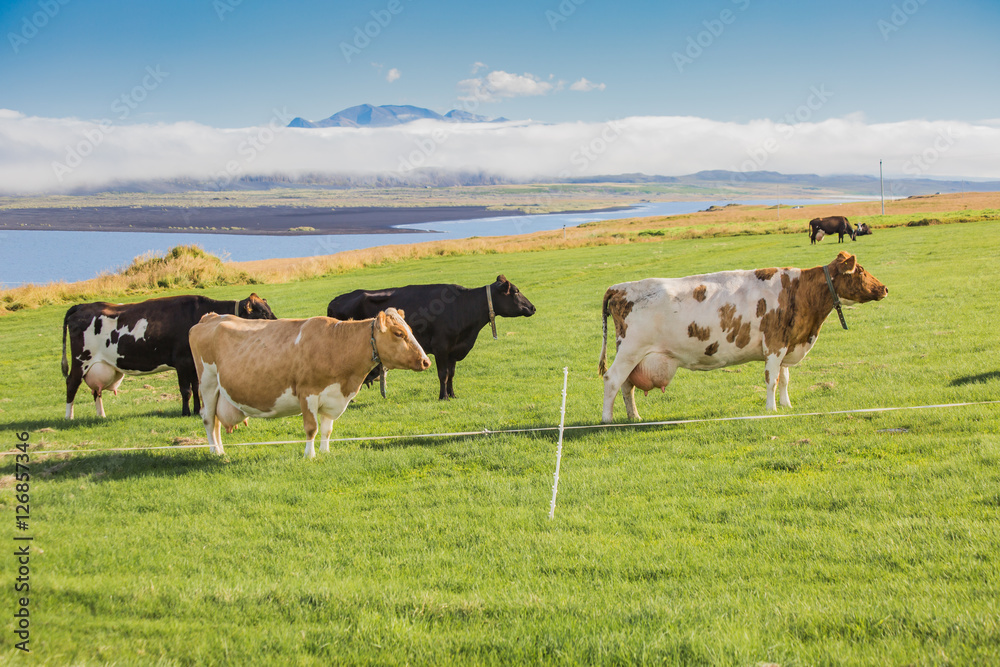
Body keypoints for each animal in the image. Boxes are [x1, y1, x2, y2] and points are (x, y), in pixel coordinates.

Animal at [63, 294, 276, 420]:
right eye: (264, 314)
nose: (278, 323)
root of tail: (81, 306)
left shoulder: (192, 363)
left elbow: (196, 388)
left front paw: (197, 410)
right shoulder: (181, 362)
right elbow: (186, 390)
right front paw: (185, 412)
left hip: (97, 364)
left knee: (96, 391)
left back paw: (101, 415)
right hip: (81, 360)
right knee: (71, 384)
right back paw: (69, 417)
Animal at [189, 310, 432, 460]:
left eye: (409, 330)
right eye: (399, 333)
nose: (425, 361)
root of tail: (211, 317)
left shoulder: (332, 397)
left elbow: (327, 429)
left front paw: (325, 452)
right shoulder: (307, 393)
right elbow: (311, 428)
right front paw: (310, 455)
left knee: (217, 421)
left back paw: (220, 450)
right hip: (207, 383)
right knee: (208, 419)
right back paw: (215, 452)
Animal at [328, 274, 536, 400]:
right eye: (516, 291)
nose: (533, 307)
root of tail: (336, 300)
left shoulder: (454, 350)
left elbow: (451, 374)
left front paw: (452, 394)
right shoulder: (441, 347)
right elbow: (442, 374)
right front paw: (443, 396)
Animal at [596, 250, 888, 422]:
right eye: (861, 270)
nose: (885, 288)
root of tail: (619, 287)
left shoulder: (785, 343)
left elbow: (785, 379)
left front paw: (787, 405)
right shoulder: (774, 344)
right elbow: (772, 380)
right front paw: (771, 410)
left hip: (633, 355)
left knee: (627, 386)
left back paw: (634, 417)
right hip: (630, 350)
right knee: (612, 380)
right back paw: (607, 420)